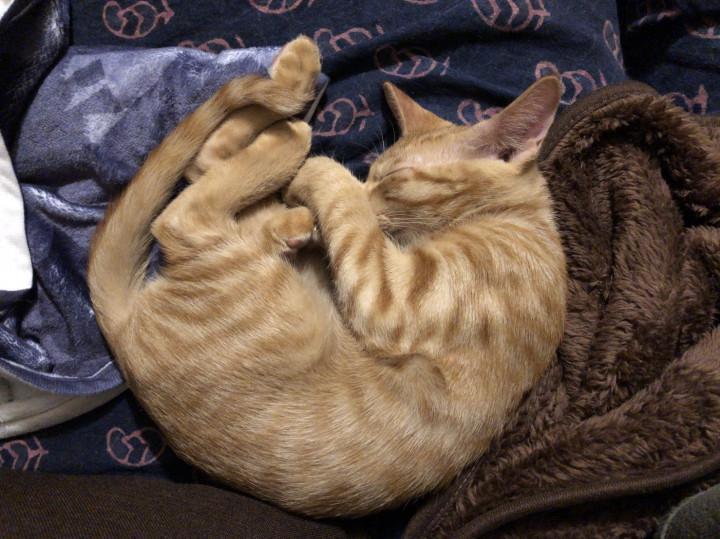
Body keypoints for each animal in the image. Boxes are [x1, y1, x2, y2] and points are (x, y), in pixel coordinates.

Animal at [87, 35, 567, 518]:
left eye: (392, 177)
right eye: (373, 172)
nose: (367, 185)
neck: (520, 223)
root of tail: (122, 332)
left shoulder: (395, 295)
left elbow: (336, 188)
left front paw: (321, 171)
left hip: (261, 286)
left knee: (181, 214)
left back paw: (296, 130)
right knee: (203, 167)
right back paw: (296, 94)